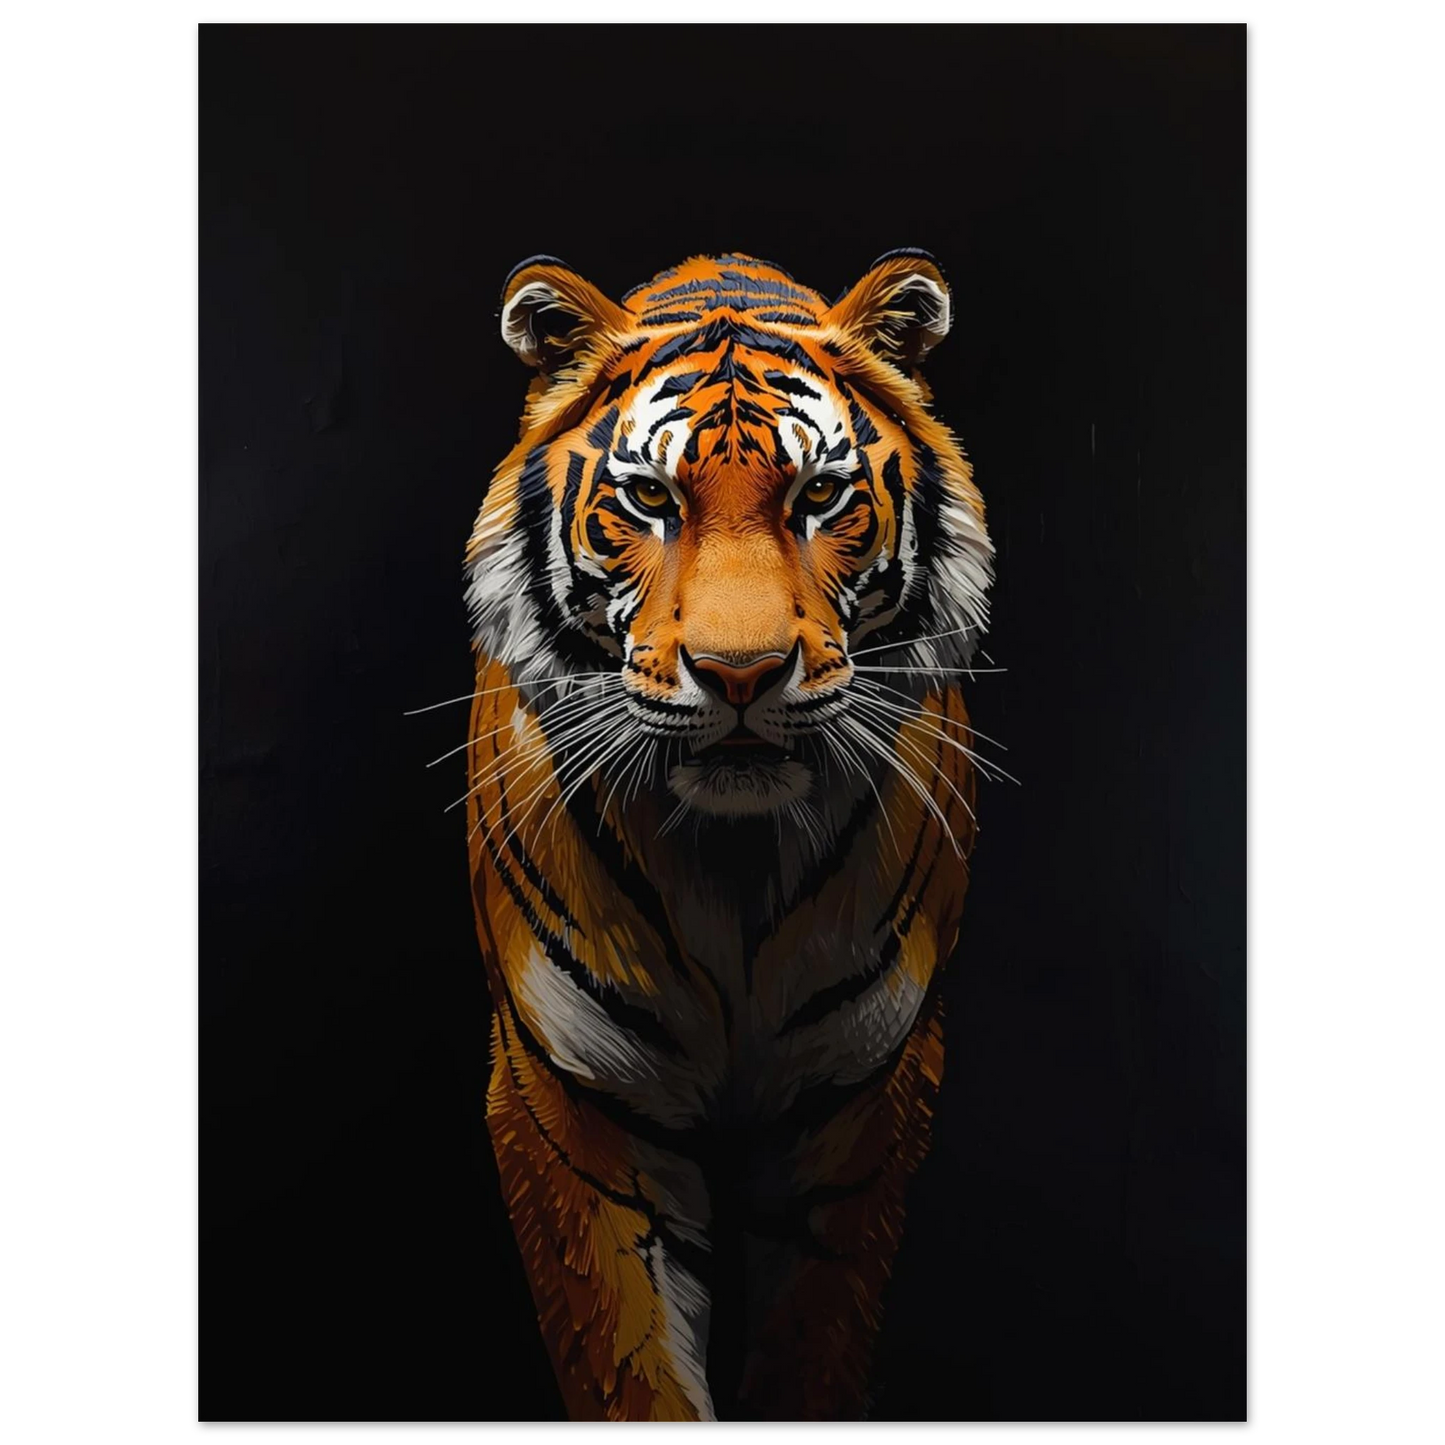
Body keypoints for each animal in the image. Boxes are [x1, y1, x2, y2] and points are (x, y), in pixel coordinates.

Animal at [461, 251, 995, 1422]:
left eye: (819, 495)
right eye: (649, 498)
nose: (740, 674)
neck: (732, 867)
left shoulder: (866, 1102)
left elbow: (813, 1353)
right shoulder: (573, 1099)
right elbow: (632, 1372)